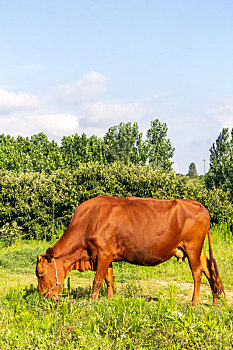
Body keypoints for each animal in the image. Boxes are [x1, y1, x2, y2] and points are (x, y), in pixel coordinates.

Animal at [36, 197, 224, 306]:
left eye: (41, 273)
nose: (43, 297)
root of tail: (194, 203)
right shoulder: (106, 255)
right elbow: (109, 279)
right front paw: (109, 299)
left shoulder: (103, 253)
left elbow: (97, 281)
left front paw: (91, 302)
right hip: (197, 249)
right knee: (208, 269)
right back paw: (215, 300)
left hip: (192, 247)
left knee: (197, 273)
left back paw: (194, 303)